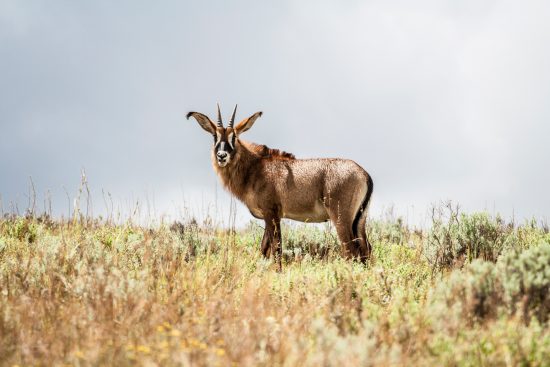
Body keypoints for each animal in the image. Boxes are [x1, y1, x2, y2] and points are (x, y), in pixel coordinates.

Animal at [187, 105, 376, 266]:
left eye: (235, 137)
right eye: (215, 136)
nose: (222, 156)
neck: (255, 167)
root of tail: (365, 174)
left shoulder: (272, 213)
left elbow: (276, 248)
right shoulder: (267, 216)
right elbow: (264, 249)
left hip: (341, 218)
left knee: (351, 250)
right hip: (359, 221)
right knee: (366, 250)